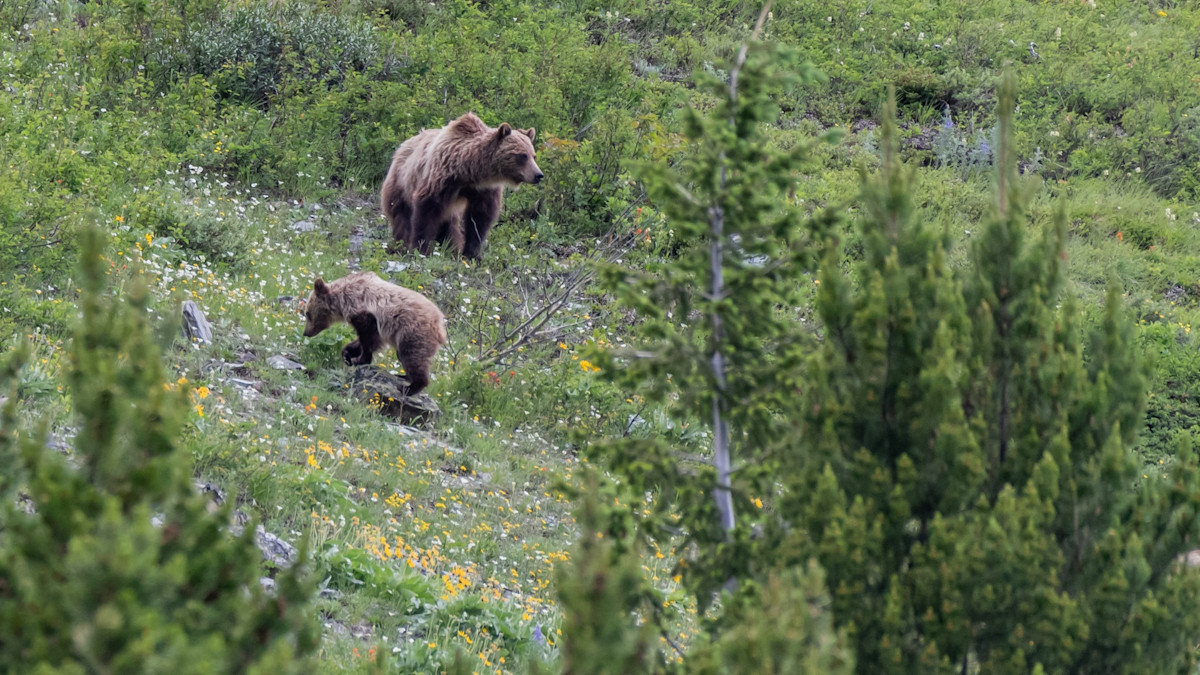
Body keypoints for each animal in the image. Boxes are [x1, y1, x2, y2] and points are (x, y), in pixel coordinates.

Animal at [301, 271, 448, 395]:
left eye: (307, 313)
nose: (306, 333)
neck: (341, 302)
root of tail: (440, 325)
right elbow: (370, 340)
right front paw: (347, 354)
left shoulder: (365, 313)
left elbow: (368, 338)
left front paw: (359, 359)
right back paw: (403, 376)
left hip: (412, 333)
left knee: (412, 357)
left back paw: (409, 387)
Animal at [380, 112, 543, 260]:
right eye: (522, 155)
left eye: (533, 155)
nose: (538, 175)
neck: (468, 172)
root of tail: (402, 146)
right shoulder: (441, 179)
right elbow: (426, 211)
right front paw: (419, 249)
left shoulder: (483, 189)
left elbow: (479, 219)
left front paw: (472, 253)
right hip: (401, 184)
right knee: (402, 217)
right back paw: (401, 244)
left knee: (448, 225)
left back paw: (452, 247)